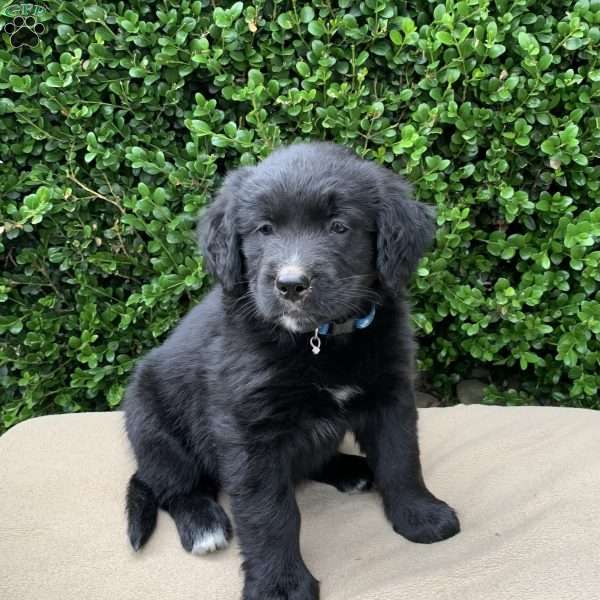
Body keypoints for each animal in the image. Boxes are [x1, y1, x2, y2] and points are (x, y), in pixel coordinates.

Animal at [124, 143, 462, 596]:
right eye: (264, 229)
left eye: (339, 227)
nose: (290, 284)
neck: (319, 340)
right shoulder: (250, 429)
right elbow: (270, 512)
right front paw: (279, 583)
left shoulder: (391, 394)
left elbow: (401, 458)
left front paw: (419, 515)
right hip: (152, 424)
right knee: (171, 485)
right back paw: (202, 522)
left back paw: (351, 469)